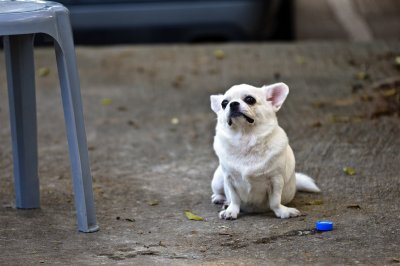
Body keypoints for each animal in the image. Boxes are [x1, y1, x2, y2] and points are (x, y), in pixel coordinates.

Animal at [211, 83, 320, 220]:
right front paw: (231, 211)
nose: (233, 103)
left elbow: (275, 201)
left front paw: (283, 212)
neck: (245, 138)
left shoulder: (276, 180)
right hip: (218, 180)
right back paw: (221, 199)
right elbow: (234, 198)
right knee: (221, 193)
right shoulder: (229, 179)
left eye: (250, 99)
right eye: (224, 103)